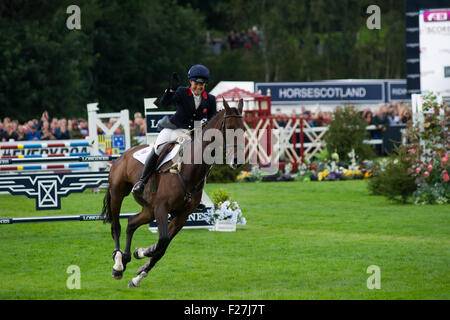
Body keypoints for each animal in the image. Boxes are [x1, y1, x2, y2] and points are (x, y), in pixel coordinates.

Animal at [101, 98, 246, 288]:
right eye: (229, 127)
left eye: (244, 129)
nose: (237, 161)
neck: (189, 168)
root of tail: (122, 156)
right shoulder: (162, 209)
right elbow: (162, 241)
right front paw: (142, 254)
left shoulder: (181, 216)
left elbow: (162, 247)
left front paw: (139, 269)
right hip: (118, 194)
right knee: (116, 226)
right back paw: (118, 265)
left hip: (148, 210)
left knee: (131, 223)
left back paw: (125, 258)